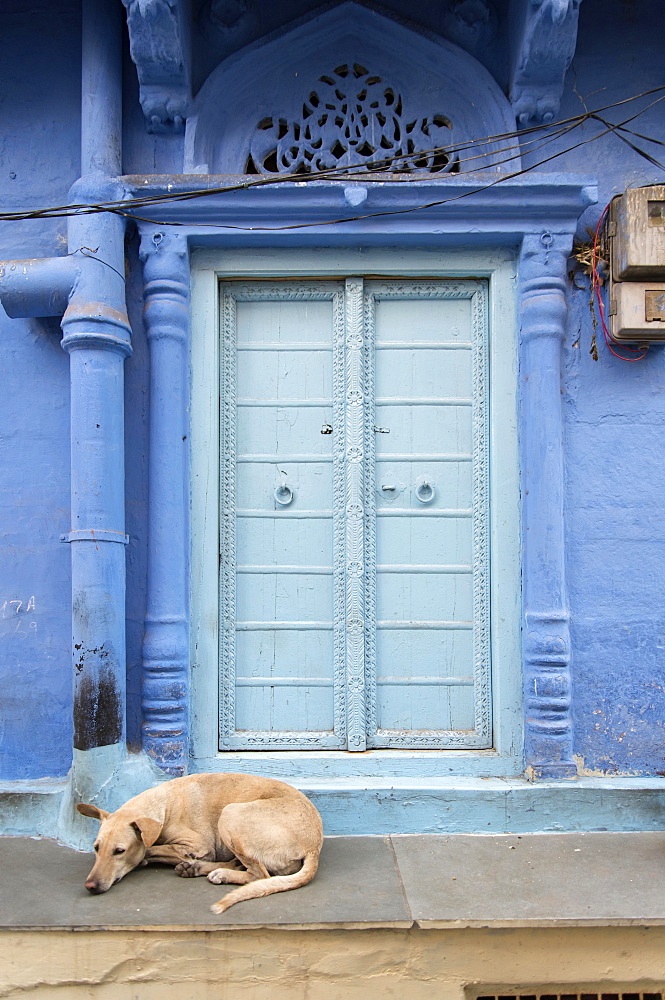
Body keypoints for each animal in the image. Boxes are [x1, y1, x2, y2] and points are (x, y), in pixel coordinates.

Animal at [76, 772, 322, 916]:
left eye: (119, 851)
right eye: (96, 848)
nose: (90, 886)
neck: (161, 806)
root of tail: (313, 847)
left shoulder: (198, 847)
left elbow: (151, 849)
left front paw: (146, 856)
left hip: (230, 815)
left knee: (259, 874)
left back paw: (216, 872)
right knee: (244, 866)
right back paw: (200, 869)